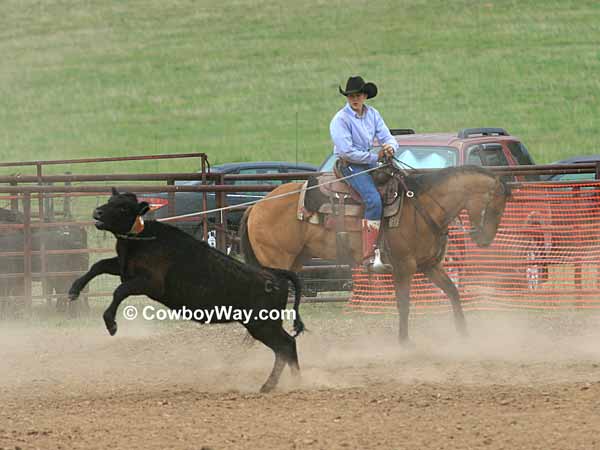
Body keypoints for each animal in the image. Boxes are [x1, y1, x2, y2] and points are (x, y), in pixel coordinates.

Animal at [239, 164, 510, 344]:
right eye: (495, 207)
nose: (484, 239)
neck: (422, 207)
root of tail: (256, 206)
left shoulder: (429, 265)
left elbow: (453, 292)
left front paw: (465, 336)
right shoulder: (403, 266)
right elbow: (404, 304)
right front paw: (404, 342)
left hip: (294, 262)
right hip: (276, 262)